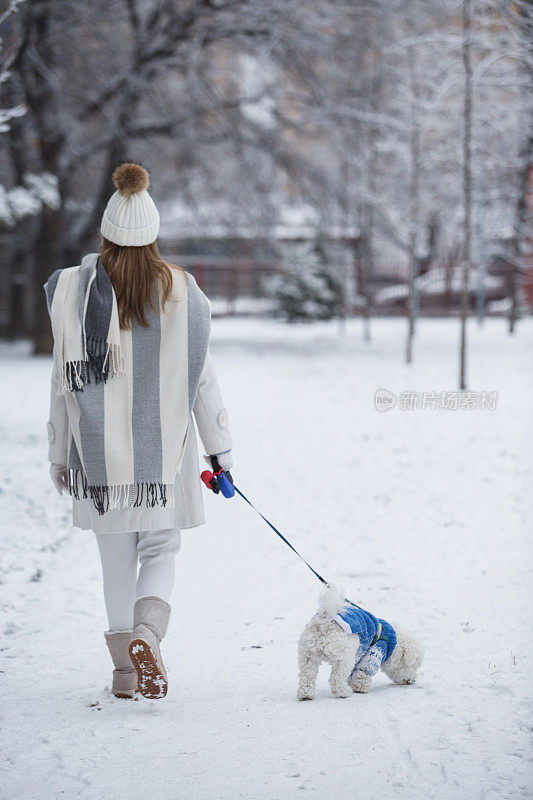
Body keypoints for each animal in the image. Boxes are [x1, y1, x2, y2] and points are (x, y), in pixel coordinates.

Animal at [296, 588, 424, 700]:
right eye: (413, 666)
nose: (413, 680)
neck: (392, 640)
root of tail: (326, 618)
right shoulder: (376, 651)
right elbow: (363, 673)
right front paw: (361, 688)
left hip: (308, 654)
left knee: (307, 675)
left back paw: (305, 695)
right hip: (344, 657)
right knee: (336, 678)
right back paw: (344, 692)